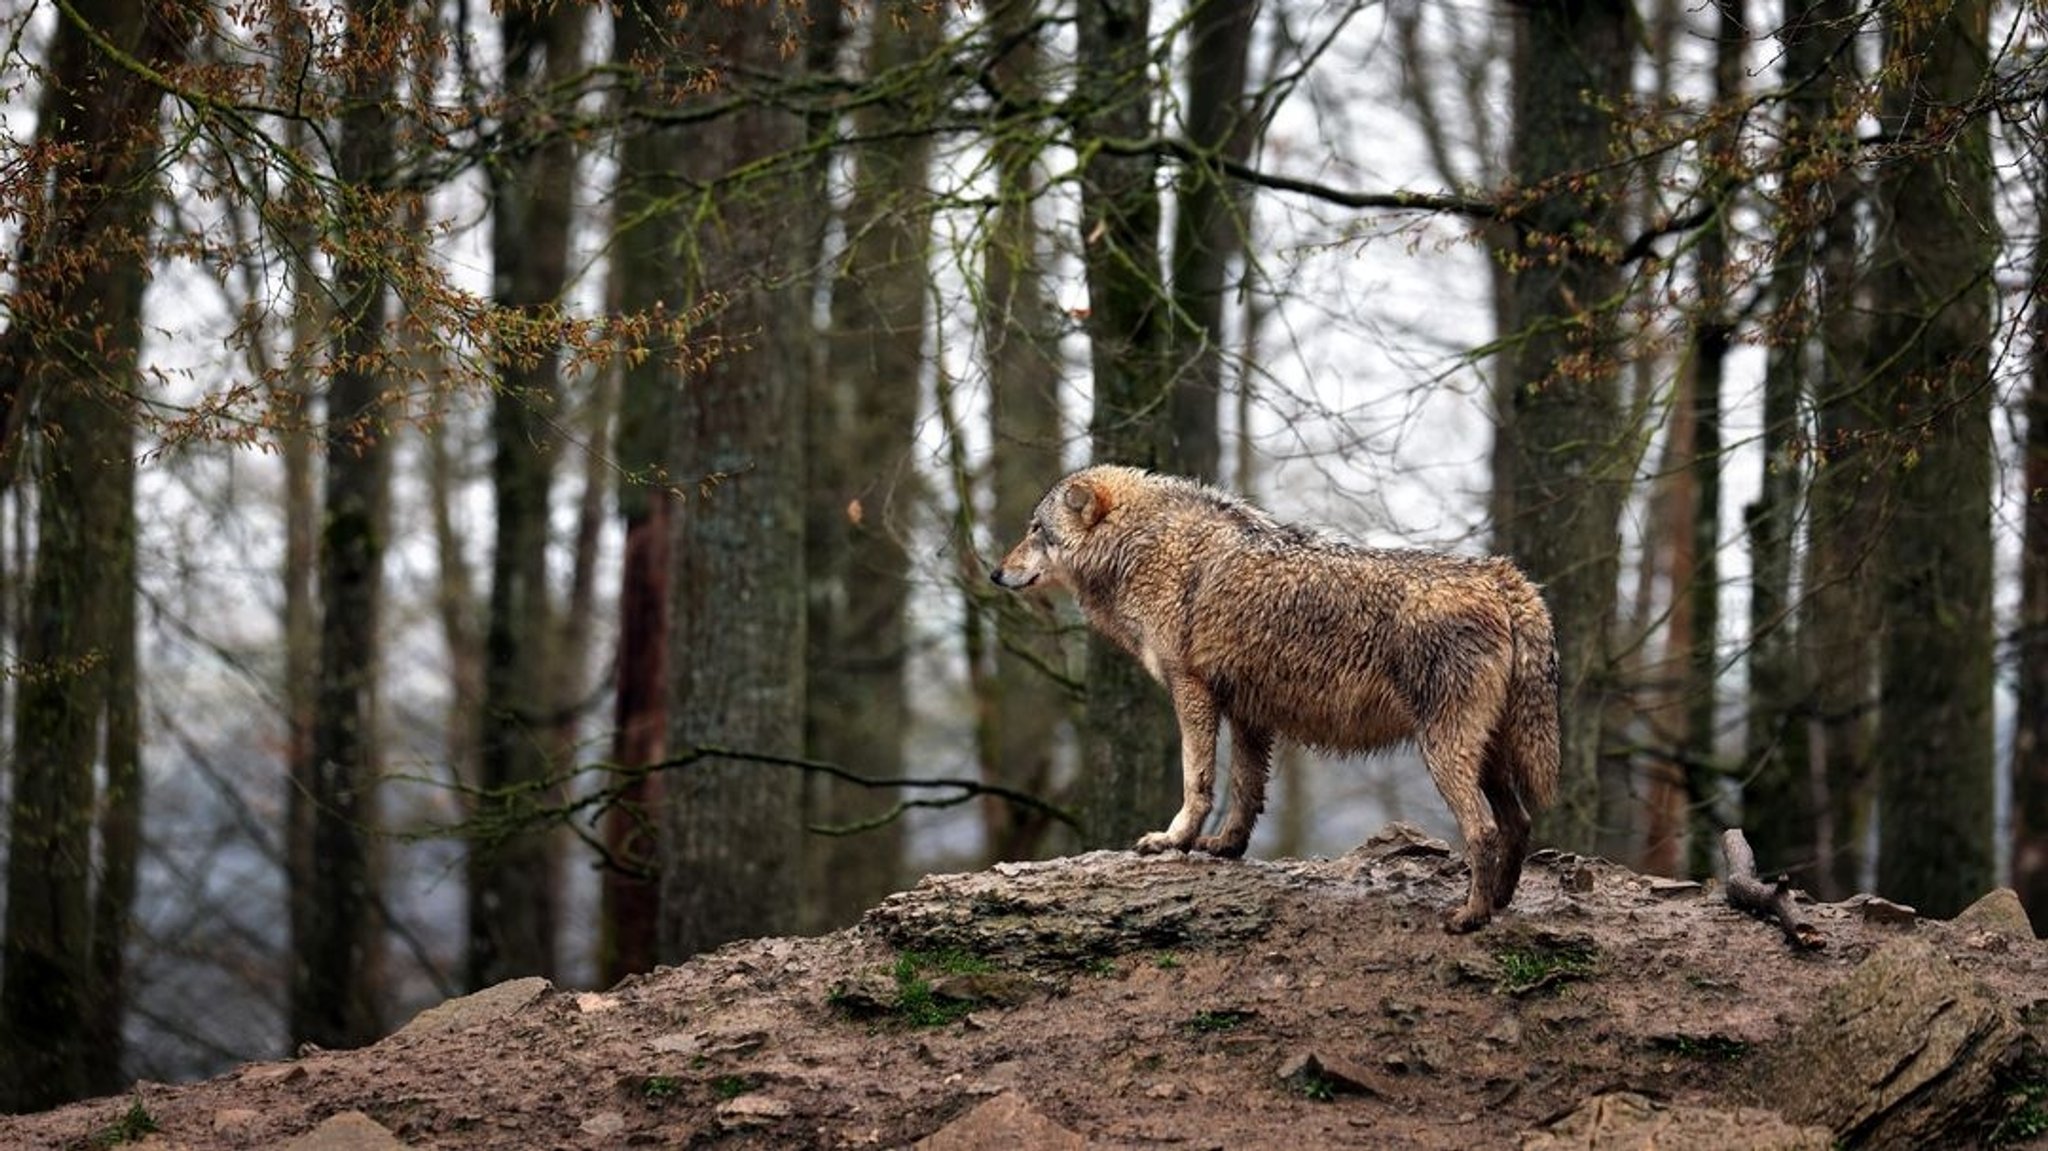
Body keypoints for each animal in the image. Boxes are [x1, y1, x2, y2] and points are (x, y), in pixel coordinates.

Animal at [987, 460, 1548, 925]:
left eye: (1035, 531)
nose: (994, 572)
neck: (1146, 546)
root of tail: (1500, 576)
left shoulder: (1191, 691)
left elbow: (1198, 780)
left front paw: (1174, 839)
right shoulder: (1248, 712)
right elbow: (1245, 789)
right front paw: (1226, 847)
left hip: (1443, 751)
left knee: (1484, 830)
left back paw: (1470, 918)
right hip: (1486, 753)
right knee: (1518, 821)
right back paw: (1500, 903)